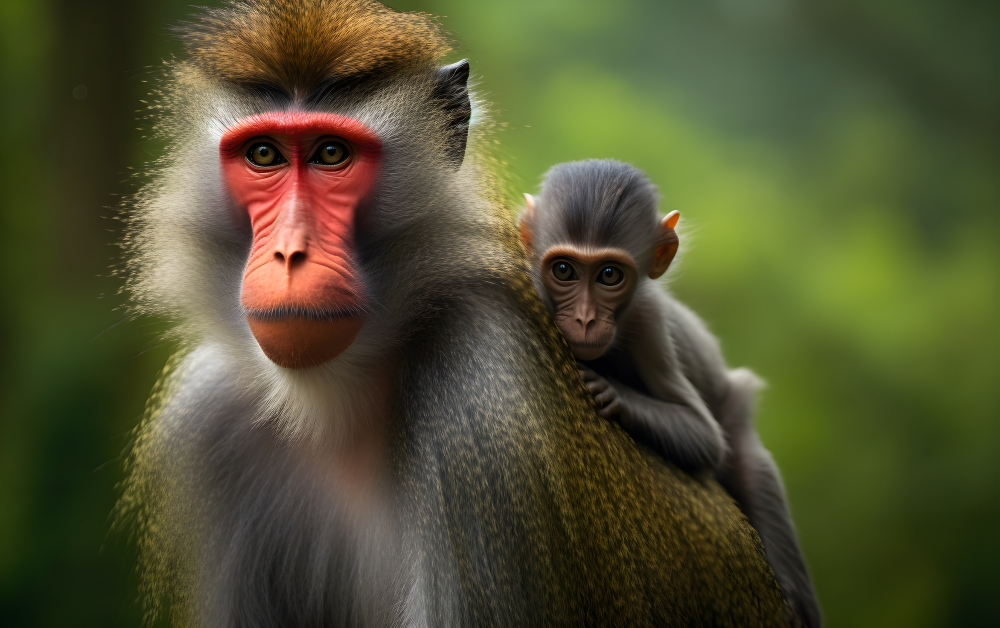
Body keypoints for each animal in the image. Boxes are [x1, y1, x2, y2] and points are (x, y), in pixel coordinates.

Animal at [115, 1, 791, 626]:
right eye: (263, 154)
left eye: (332, 153)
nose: (288, 252)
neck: (335, 402)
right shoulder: (210, 421)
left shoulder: (482, 409)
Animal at [519, 159, 822, 628]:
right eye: (564, 270)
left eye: (609, 275)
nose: (586, 319)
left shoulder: (650, 320)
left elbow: (704, 437)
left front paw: (608, 391)